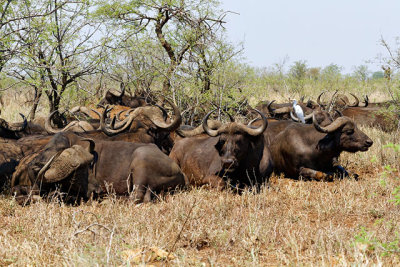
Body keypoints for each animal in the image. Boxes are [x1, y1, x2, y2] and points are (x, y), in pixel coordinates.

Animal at [11, 133, 186, 205]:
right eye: (77, 173)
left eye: (86, 168)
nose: (97, 190)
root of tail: (180, 172)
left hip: (140, 161)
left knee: (136, 197)